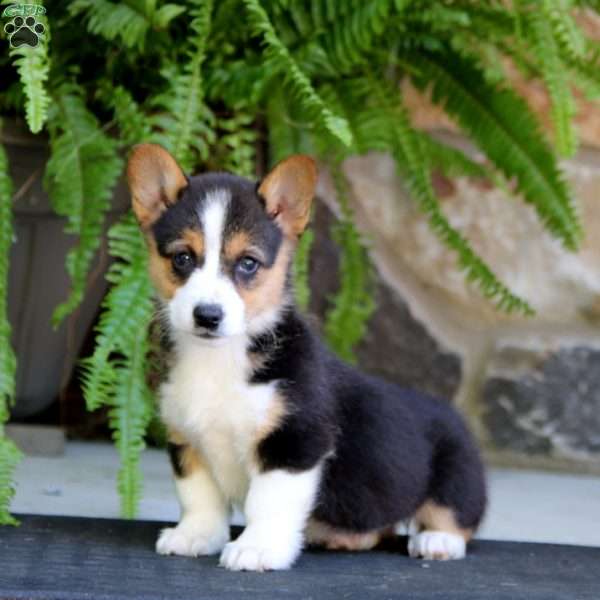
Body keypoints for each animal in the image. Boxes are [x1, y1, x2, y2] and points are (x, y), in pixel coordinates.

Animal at [127, 144, 488, 572]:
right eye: (182, 258)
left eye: (248, 263)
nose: (208, 315)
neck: (220, 359)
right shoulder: (188, 441)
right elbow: (199, 498)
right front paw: (194, 536)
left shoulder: (294, 441)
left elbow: (267, 504)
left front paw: (256, 549)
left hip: (456, 473)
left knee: (455, 515)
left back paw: (437, 540)